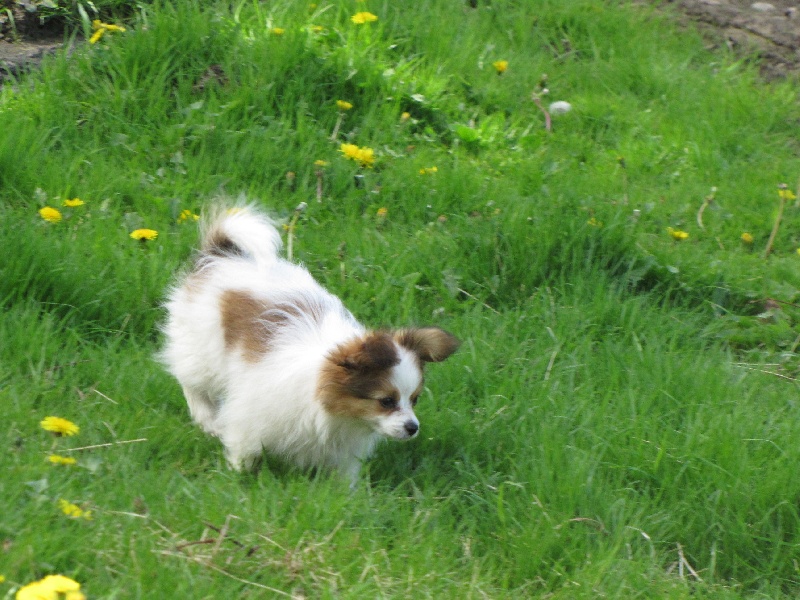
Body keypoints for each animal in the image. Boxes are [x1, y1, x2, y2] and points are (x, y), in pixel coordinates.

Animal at [160, 205, 460, 483]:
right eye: (386, 401)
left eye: (415, 399)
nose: (413, 427)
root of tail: (223, 257)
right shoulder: (250, 418)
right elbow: (244, 450)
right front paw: (239, 478)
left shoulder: (345, 450)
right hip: (202, 349)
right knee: (192, 381)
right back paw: (207, 420)